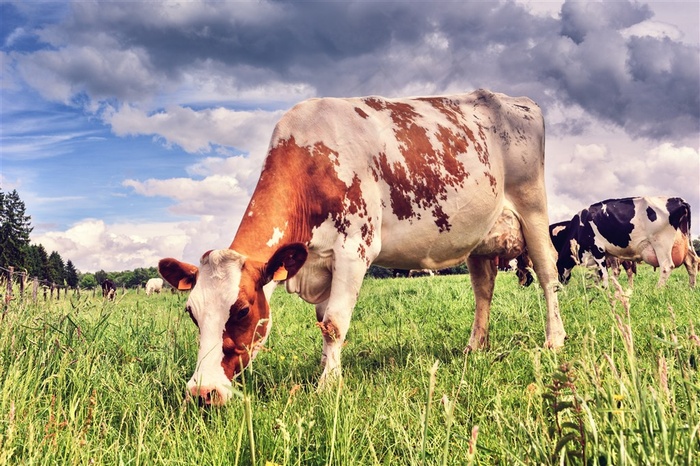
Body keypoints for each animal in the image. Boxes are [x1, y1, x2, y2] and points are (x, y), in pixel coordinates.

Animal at [157, 90, 564, 404]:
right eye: (192, 312)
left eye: (241, 310)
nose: (202, 392)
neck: (312, 160)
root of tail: (516, 99)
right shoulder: (320, 261)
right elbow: (323, 321)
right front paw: (327, 369)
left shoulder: (355, 249)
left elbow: (335, 324)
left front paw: (326, 386)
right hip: (480, 235)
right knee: (484, 289)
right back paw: (475, 346)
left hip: (532, 207)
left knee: (548, 273)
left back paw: (555, 340)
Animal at [552, 197, 696, 288]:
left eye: (557, 267)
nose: (560, 284)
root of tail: (679, 200)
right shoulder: (608, 254)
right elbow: (603, 273)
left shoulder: (597, 249)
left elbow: (604, 273)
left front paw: (605, 290)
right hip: (685, 242)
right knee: (692, 262)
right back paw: (691, 287)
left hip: (661, 243)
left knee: (667, 266)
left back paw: (657, 290)